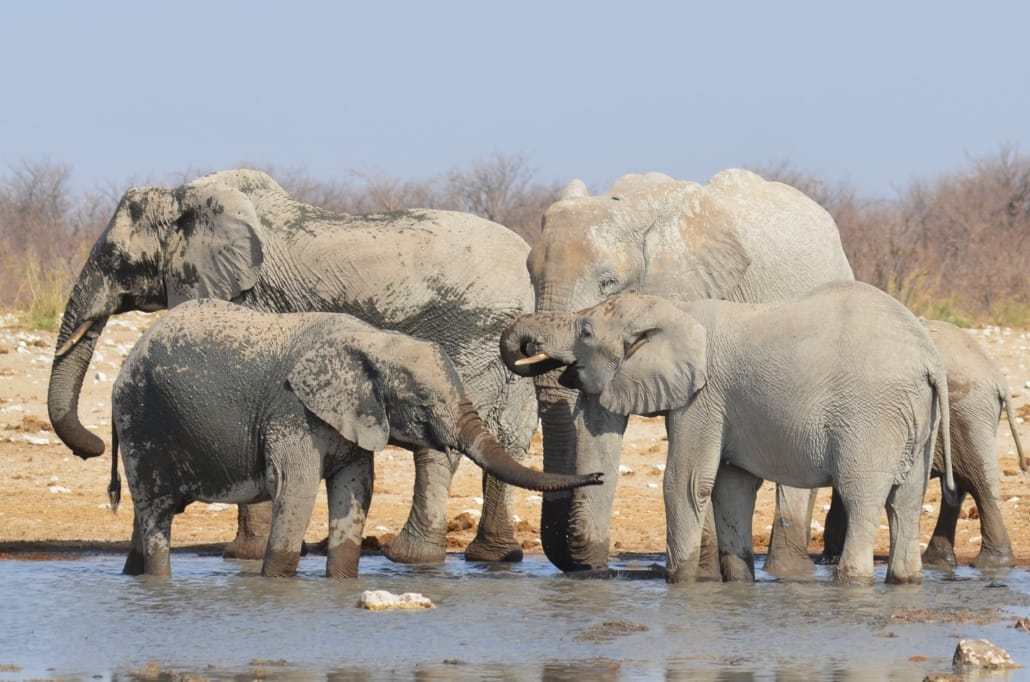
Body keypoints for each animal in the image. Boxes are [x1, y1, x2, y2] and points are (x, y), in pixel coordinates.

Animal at [47, 168, 537, 565]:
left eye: (116, 260)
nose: (92, 446)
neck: (186, 195)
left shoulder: (250, 294)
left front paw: (242, 555)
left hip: (468, 330)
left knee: (438, 447)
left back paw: (409, 557)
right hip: (504, 346)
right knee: (509, 439)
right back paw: (492, 557)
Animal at [109, 299, 602, 577]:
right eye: (423, 401)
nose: (597, 477)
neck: (374, 343)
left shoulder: (355, 420)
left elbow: (354, 490)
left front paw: (344, 586)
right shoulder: (291, 411)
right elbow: (296, 489)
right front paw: (275, 585)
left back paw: (132, 576)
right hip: (141, 419)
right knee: (155, 511)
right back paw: (157, 580)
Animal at [501, 282, 956, 585]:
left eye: (586, 333)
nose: (527, 349)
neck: (675, 309)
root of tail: (929, 358)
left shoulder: (704, 397)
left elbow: (685, 482)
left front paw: (679, 582)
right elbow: (731, 487)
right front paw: (737, 585)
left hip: (872, 415)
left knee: (862, 495)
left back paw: (853, 582)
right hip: (916, 418)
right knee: (906, 500)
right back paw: (905, 582)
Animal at [522, 168, 855, 574]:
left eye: (607, 282)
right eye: (530, 274)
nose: (605, 569)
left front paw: (703, 574)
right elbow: (599, 422)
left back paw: (786, 572)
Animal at [821, 319, 1027, 570]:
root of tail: (999, 379)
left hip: (964, 413)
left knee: (975, 481)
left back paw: (989, 564)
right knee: (961, 484)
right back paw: (941, 562)